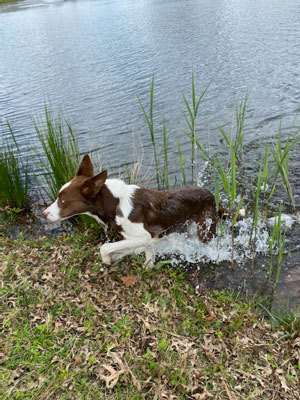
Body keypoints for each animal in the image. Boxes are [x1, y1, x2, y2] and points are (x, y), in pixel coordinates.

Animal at [42, 155, 244, 266]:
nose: (44, 214)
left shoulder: (146, 235)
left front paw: (108, 260)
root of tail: (212, 196)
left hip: (205, 231)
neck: (114, 204)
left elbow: (106, 247)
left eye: (62, 201)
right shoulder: (142, 239)